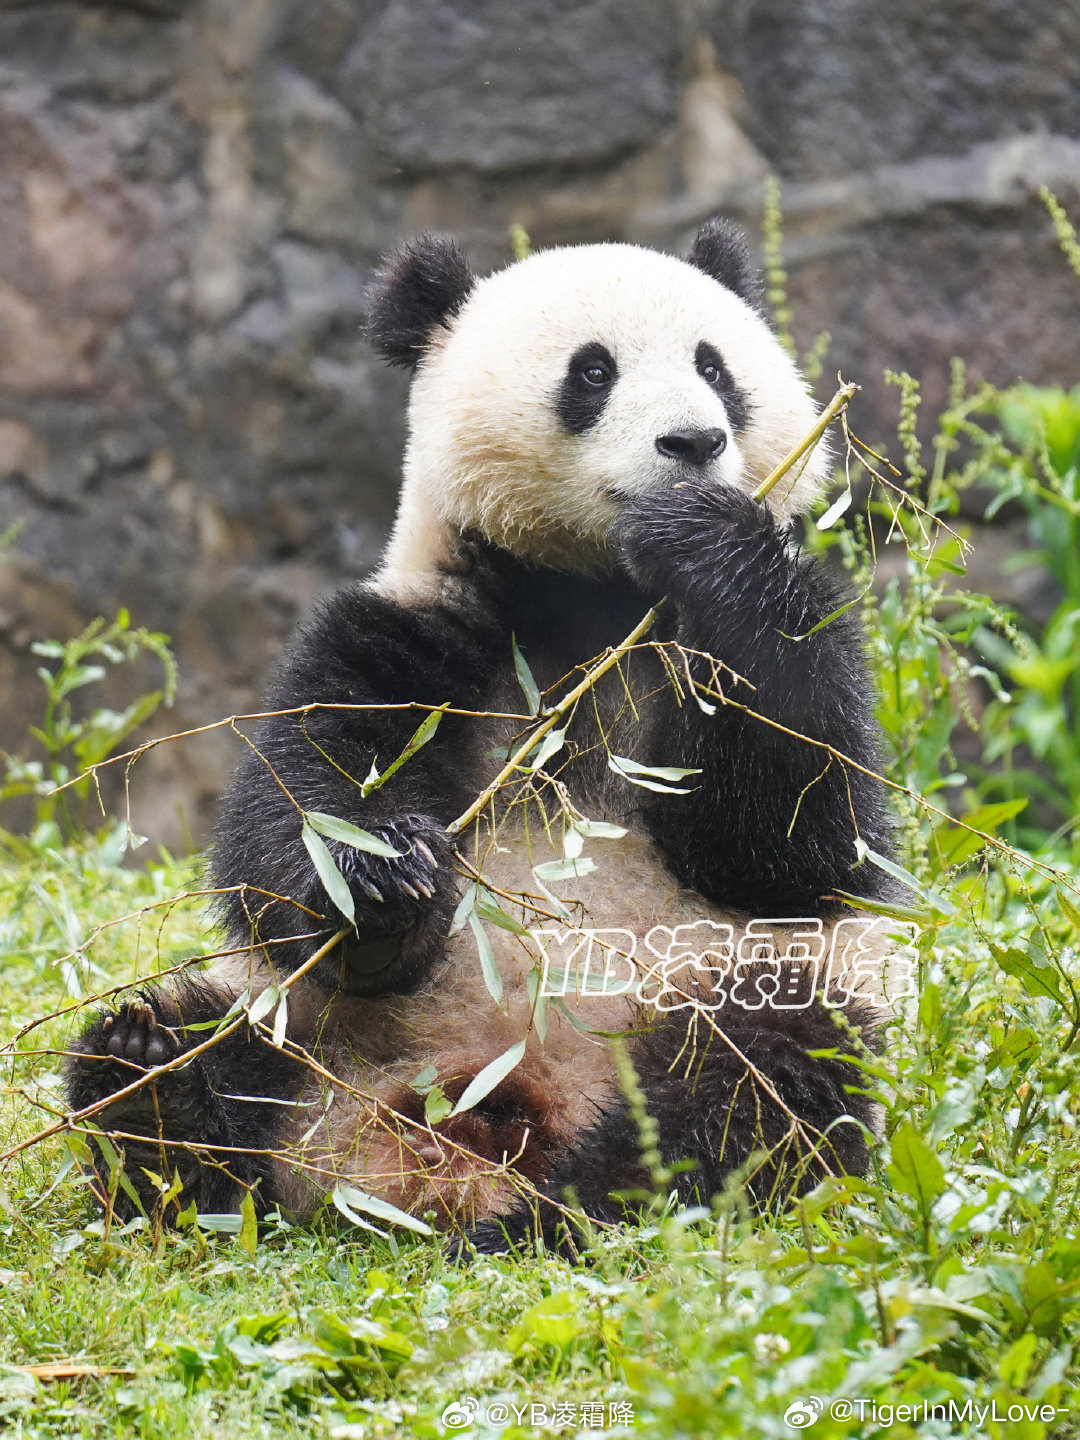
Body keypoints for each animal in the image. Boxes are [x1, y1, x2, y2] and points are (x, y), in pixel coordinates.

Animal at [63, 218, 898, 1255]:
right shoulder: (426, 630)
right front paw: (382, 884)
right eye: (593, 371)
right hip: (311, 1030)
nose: (696, 442)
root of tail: (457, 1140)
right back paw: (154, 1100)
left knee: (772, 1063)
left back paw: (585, 1206)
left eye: (716, 365)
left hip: (722, 989)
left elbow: (797, 837)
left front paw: (706, 532)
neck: (596, 594)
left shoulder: (745, 645)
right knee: (211, 1048)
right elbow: (300, 800)